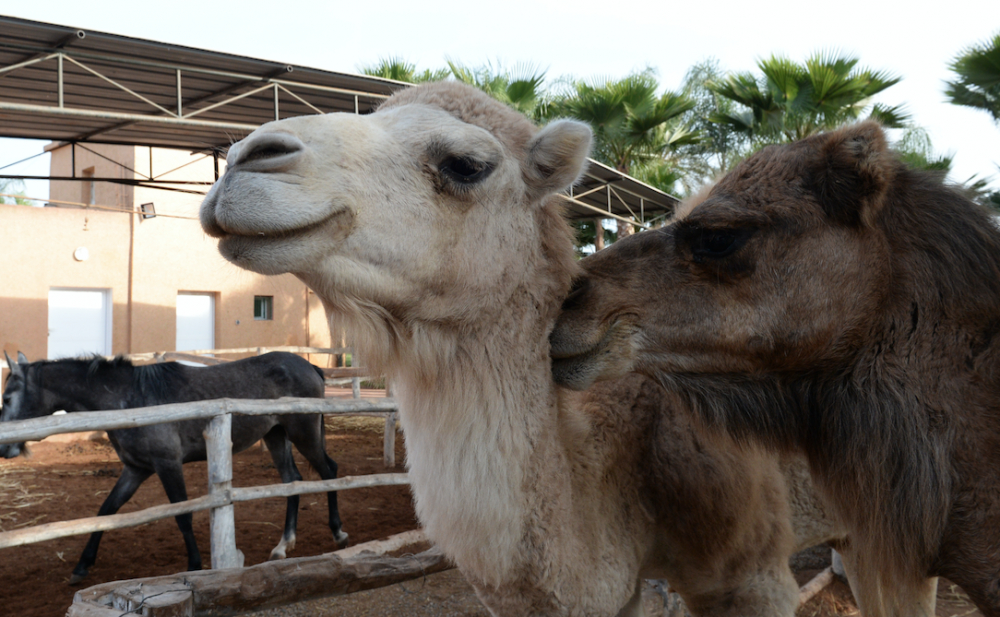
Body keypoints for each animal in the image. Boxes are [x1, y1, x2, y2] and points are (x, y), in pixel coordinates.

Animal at [0, 352, 348, 584]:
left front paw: (194, 565)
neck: (131, 400)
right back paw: (282, 546)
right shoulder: (136, 469)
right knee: (293, 481)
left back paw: (338, 532)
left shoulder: (168, 465)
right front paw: (81, 566)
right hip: (276, 435)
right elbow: (106, 511)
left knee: (329, 472)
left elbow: (182, 515)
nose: (4, 448)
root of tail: (309, 365)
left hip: (303, 432)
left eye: (6, 398)